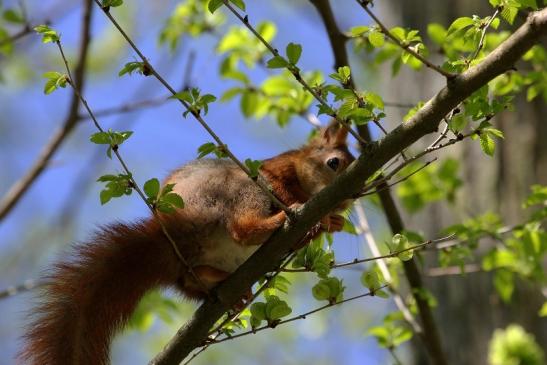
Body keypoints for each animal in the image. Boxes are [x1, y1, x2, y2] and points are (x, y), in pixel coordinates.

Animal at [20, 121, 356, 362]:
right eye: (334, 163)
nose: (347, 198)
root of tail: (177, 233)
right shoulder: (273, 171)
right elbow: (280, 188)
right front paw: (302, 208)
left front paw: (329, 223)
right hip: (239, 190)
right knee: (241, 228)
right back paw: (270, 224)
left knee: (190, 278)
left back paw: (227, 286)